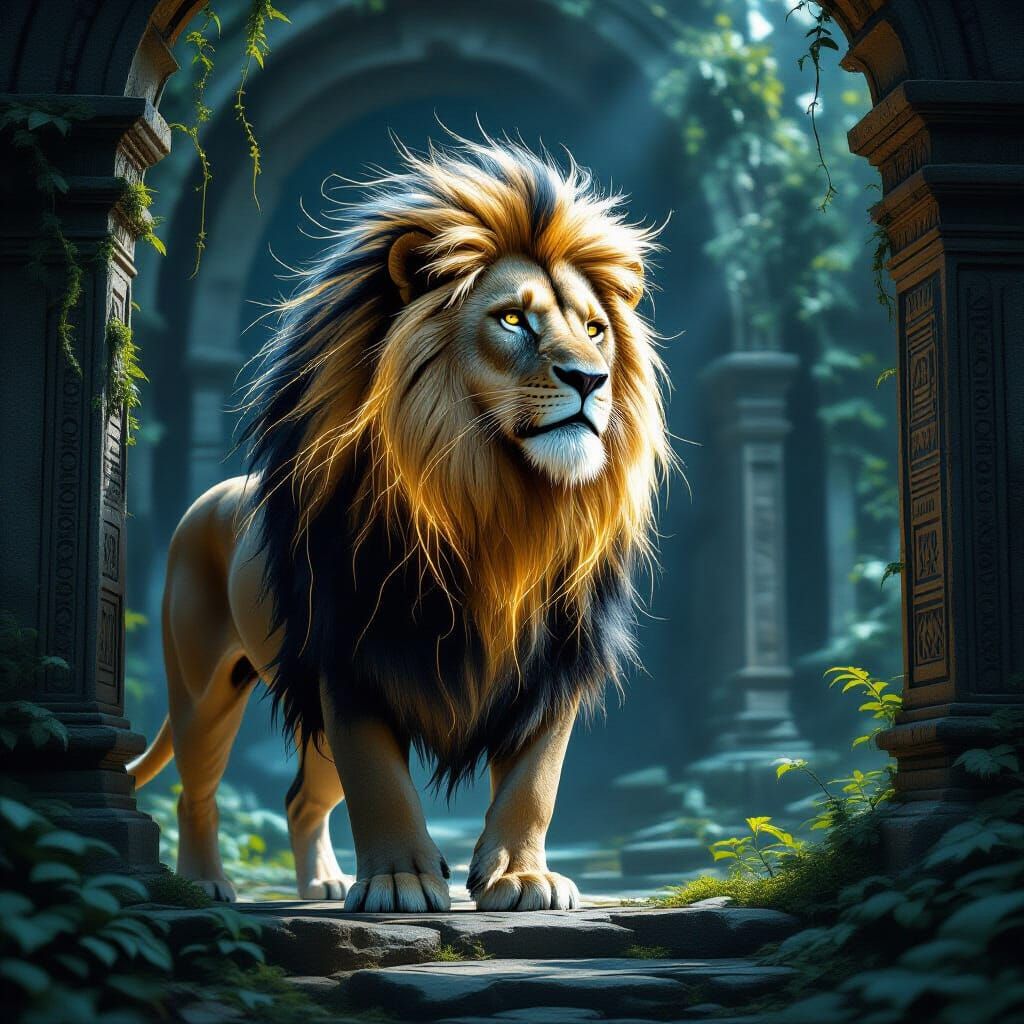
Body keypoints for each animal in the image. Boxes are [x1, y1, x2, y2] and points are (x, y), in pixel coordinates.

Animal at [128, 136, 670, 912]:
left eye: (596, 329)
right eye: (513, 320)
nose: (591, 379)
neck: (497, 505)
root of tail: (210, 497)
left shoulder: (554, 664)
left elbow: (535, 781)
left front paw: (521, 878)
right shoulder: (346, 658)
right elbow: (379, 780)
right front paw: (399, 882)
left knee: (301, 798)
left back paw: (321, 884)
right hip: (205, 688)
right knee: (194, 790)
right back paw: (204, 882)